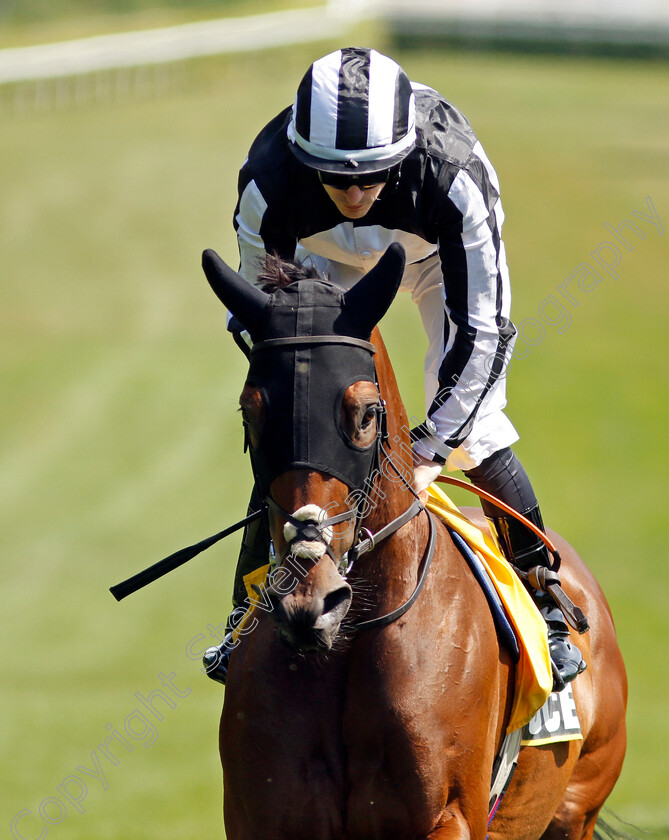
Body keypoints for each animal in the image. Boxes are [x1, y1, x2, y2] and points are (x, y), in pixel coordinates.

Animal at [200, 241, 628, 840]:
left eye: (364, 414)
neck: (348, 644)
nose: (310, 601)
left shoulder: (447, 816)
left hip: (576, 808)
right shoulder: (261, 816)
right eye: (251, 412)